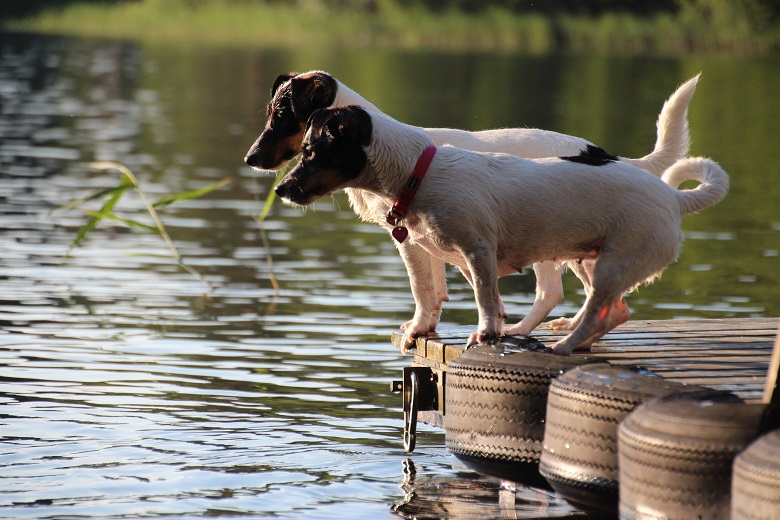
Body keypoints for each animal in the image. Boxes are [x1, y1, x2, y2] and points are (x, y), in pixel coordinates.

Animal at [244, 71, 700, 342]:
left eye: (281, 115)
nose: (250, 159)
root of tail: (603, 153)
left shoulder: (409, 240)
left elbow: (424, 289)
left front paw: (424, 327)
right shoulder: (424, 239)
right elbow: (441, 285)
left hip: (555, 247)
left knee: (554, 291)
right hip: (582, 251)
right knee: (593, 295)